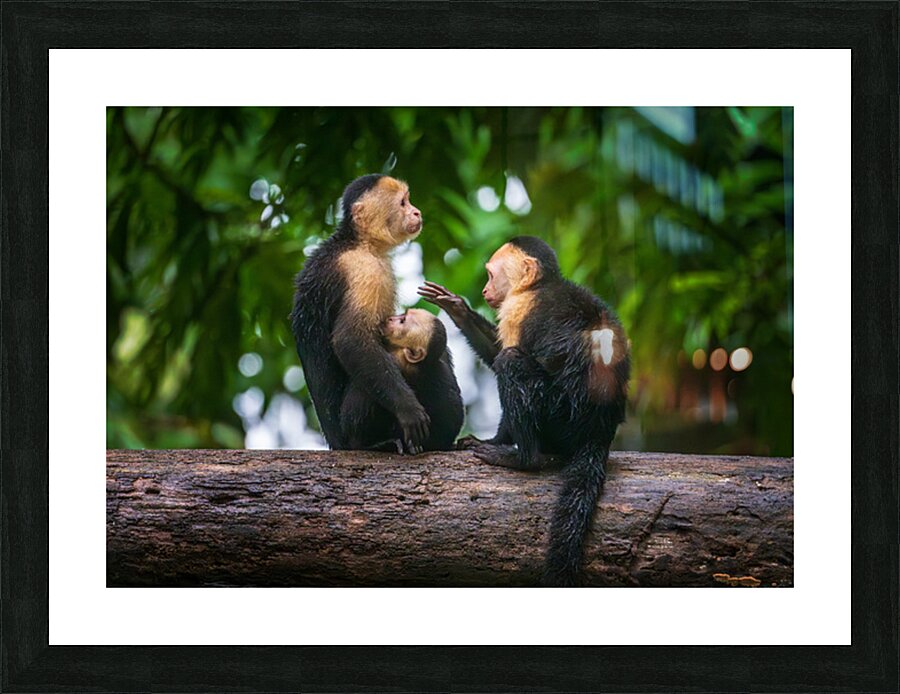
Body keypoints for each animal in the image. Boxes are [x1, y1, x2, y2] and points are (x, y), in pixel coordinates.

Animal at [291, 174, 431, 454]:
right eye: (403, 203)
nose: (416, 212)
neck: (358, 242)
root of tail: (336, 443)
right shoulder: (365, 271)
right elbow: (351, 340)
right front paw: (408, 409)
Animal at [418, 236, 630, 586]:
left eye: (491, 275)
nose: (485, 290)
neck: (540, 285)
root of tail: (600, 431)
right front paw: (458, 308)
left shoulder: (520, 308)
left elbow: (505, 355)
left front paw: (497, 443)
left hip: (562, 416)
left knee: (512, 363)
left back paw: (523, 458)